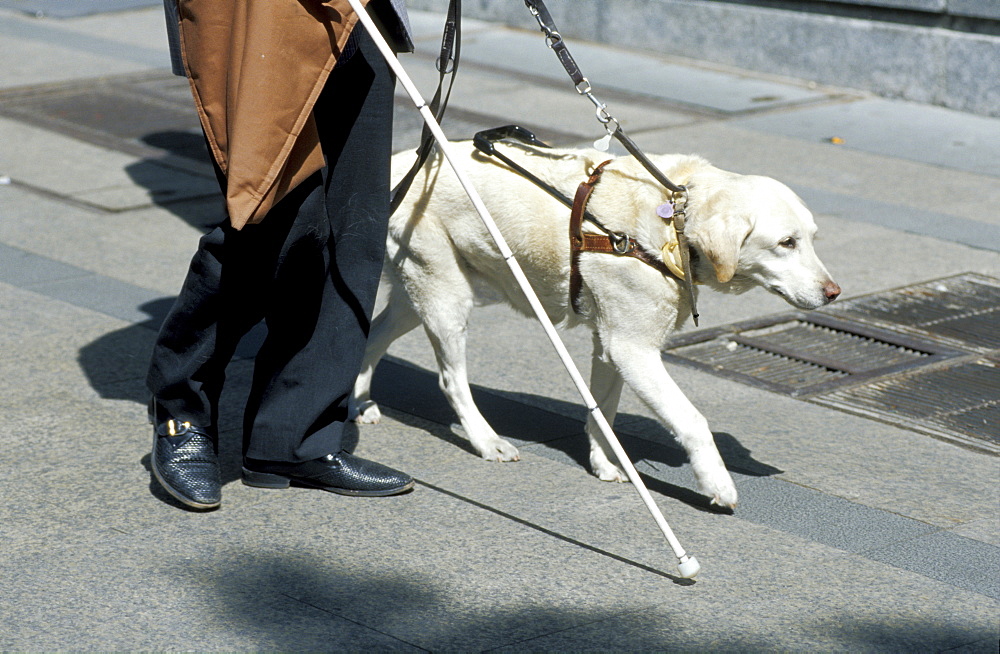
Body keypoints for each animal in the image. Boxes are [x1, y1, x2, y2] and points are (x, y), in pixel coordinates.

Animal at [348, 144, 840, 510]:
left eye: (813, 239)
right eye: (786, 243)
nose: (834, 292)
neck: (673, 225)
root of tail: (398, 162)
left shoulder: (611, 344)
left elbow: (604, 410)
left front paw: (604, 463)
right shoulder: (632, 348)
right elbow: (692, 420)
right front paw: (716, 484)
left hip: (419, 294)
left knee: (372, 335)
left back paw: (356, 402)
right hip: (444, 293)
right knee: (451, 380)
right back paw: (486, 441)